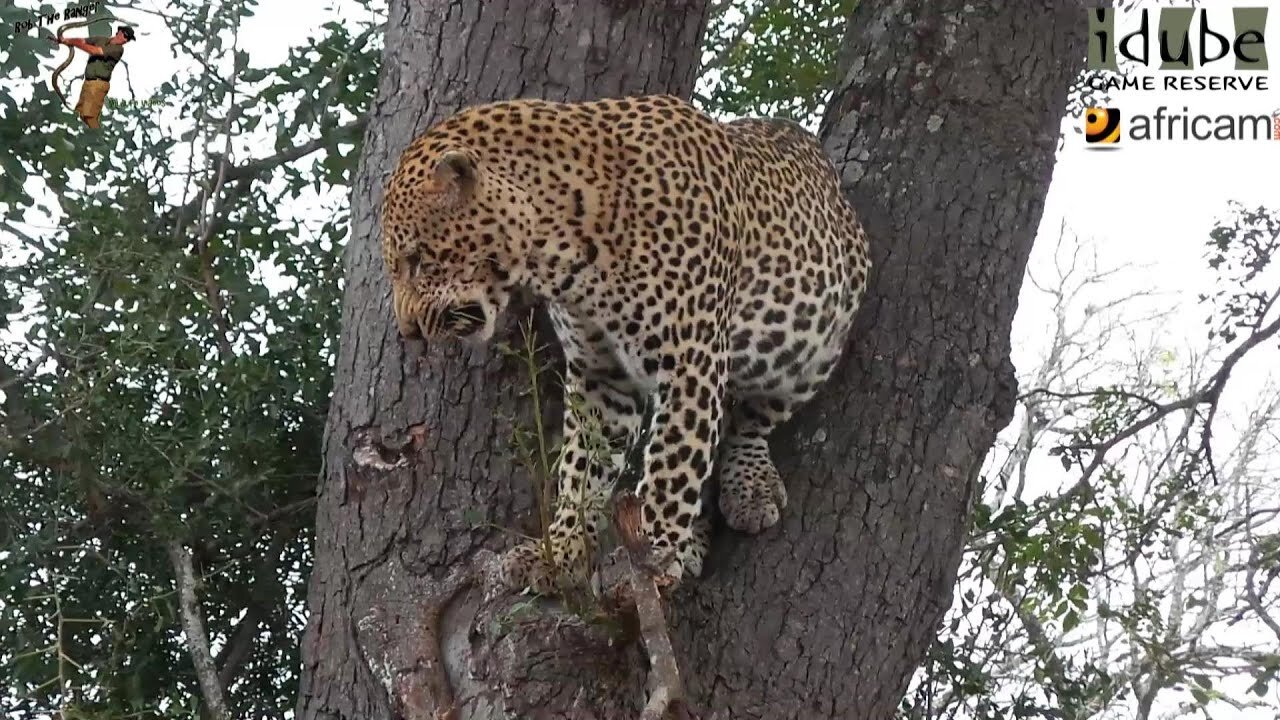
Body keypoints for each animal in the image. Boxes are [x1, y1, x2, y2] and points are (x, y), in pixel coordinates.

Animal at [376, 92, 870, 591]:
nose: (408, 330)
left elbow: (673, 463)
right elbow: (581, 469)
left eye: (416, 260)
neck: (559, 250)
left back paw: (748, 488)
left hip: (808, 355)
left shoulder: (691, 359)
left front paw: (655, 552)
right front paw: (562, 553)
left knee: (748, 421)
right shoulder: (601, 376)